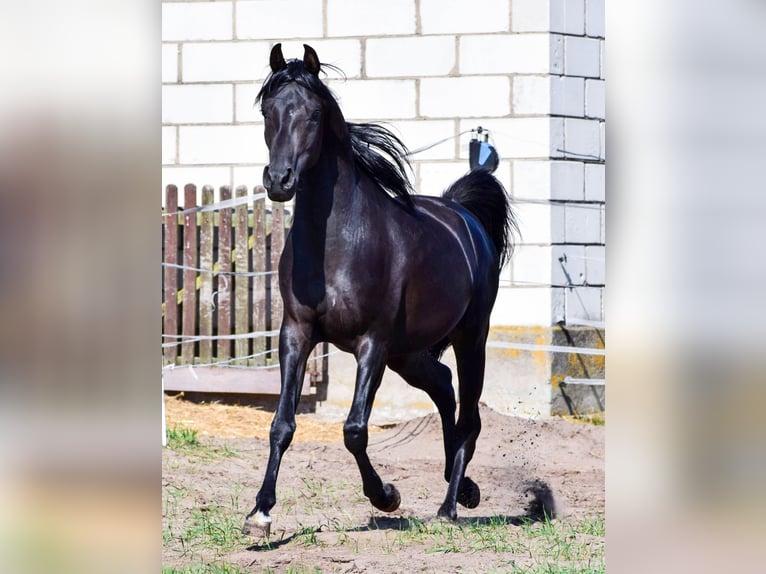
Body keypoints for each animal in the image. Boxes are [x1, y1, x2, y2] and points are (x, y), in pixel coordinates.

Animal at [243, 43, 518, 536]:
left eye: (313, 114)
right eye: (267, 110)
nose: (279, 181)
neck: (338, 243)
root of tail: (464, 216)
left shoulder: (372, 343)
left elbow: (355, 429)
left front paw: (386, 496)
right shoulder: (296, 333)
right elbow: (281, 424)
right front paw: (260, 513)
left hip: (470, 338)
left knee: (469, 418)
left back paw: (450, 506)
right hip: (408, 354)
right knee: (443, 387)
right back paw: (463, 488)